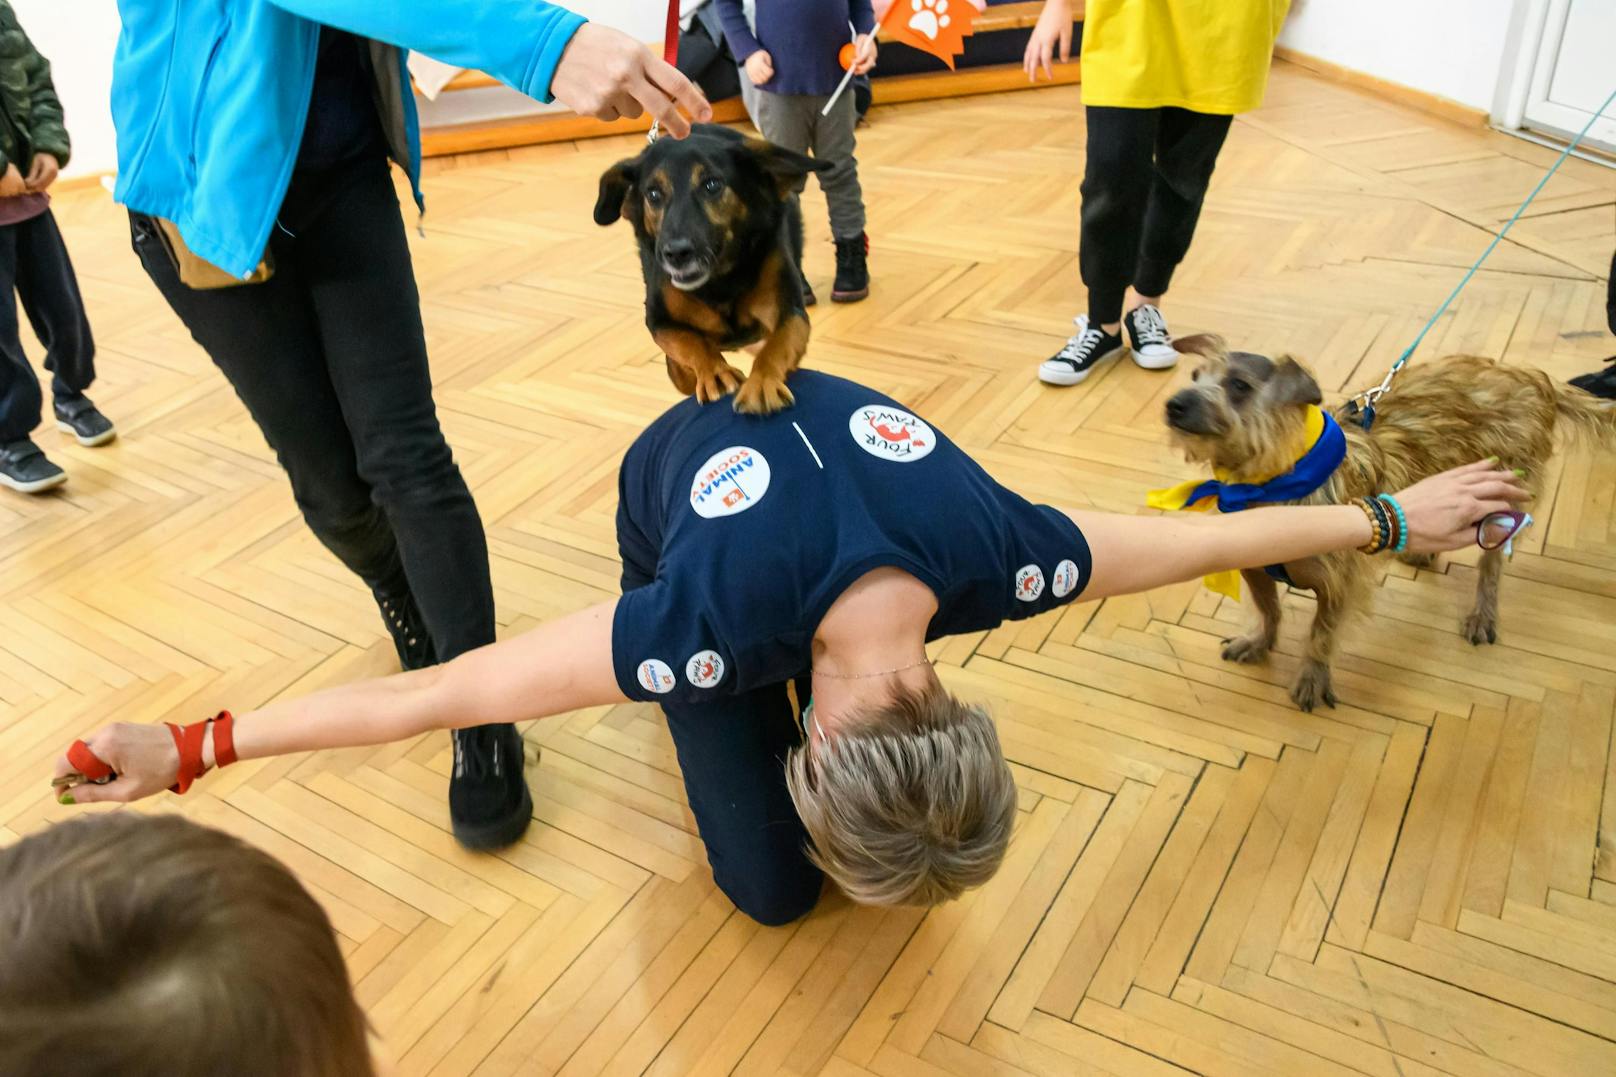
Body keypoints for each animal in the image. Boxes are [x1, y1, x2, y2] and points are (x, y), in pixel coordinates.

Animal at [594, 123, 827, 412]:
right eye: (653, 194)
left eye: (712, 185)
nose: (676, 253)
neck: (719, 281)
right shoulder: (659, 322)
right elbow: (691, 343)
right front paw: (714, 372)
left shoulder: (791, 314)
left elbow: (776, 347)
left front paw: (761, 383)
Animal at [1163, 333, 1616, 705]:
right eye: (1196, 374)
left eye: (1239, 385)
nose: (1174, 404)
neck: (1270, 484)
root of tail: (1535, 379)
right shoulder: (1254, 568)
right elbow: (1268, 608)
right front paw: (1260, 641)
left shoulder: (1340, 585)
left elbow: (1321, 632)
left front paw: (1313, 676)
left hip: (1501, 497)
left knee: (1491, 563)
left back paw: (1483, 612)